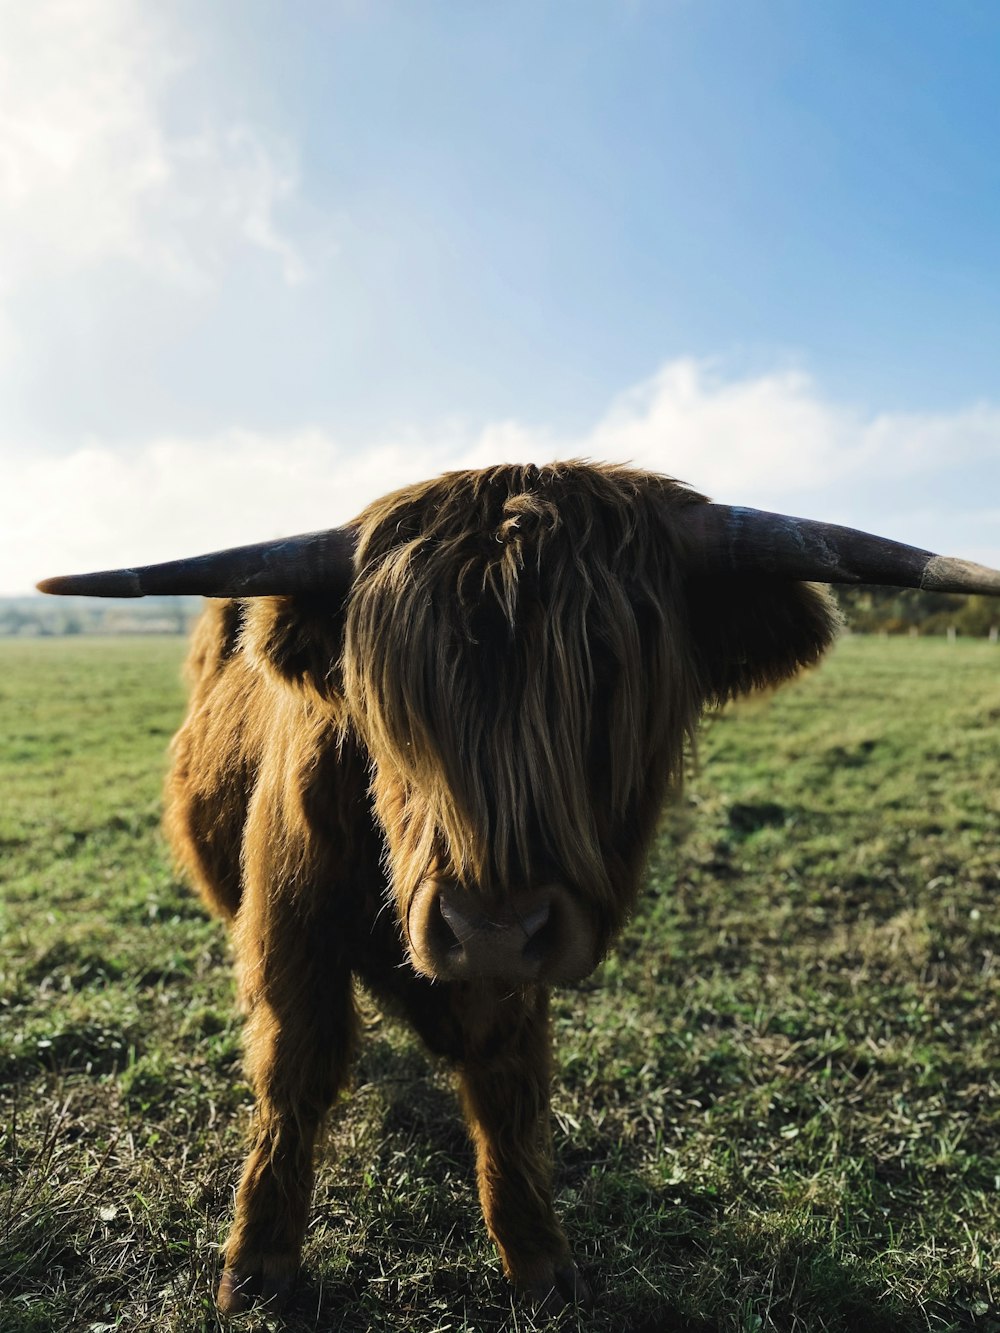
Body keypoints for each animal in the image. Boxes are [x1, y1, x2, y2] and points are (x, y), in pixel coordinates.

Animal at [37, 461, 1000, 1311]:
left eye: (611, 678)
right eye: (394, 701)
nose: (489, 925)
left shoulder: (518, 966)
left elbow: (508, 1086)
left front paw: (538, 1258)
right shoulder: (292, 926)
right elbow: (296, 1069)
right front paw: (261, 1261)